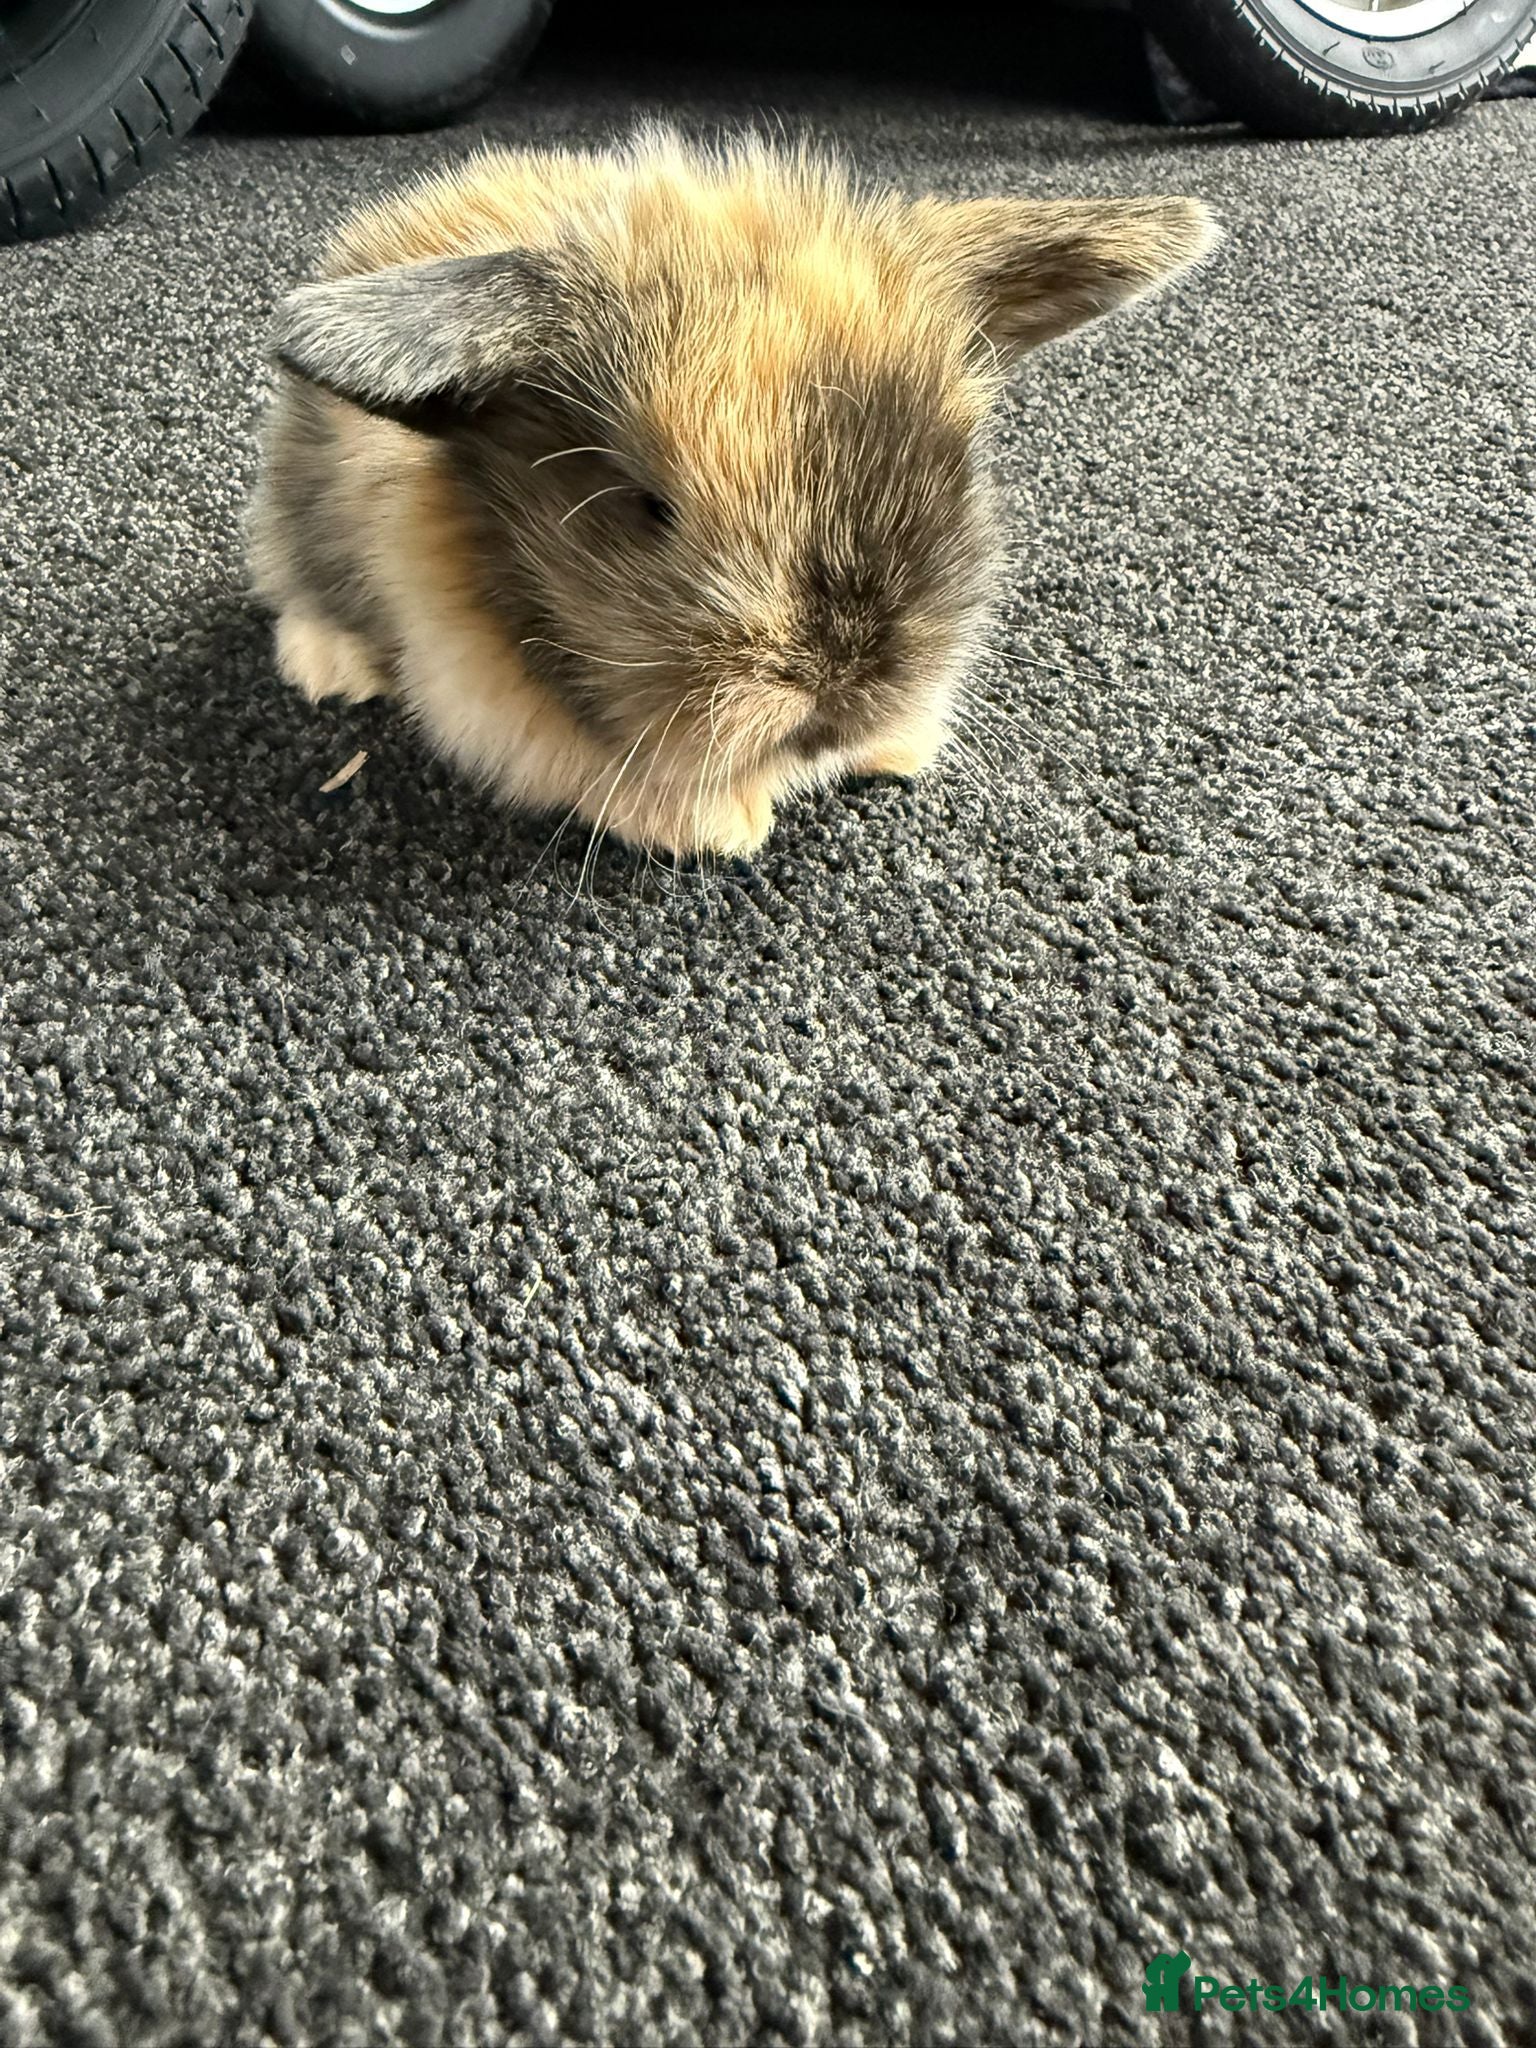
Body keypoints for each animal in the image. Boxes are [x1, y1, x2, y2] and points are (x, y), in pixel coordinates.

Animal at [248, 127, 1216, 858]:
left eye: (950, 463)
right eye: (649, 506)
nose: (838, 698)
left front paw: (896, 750)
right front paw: (727, 826)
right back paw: (331, 668)